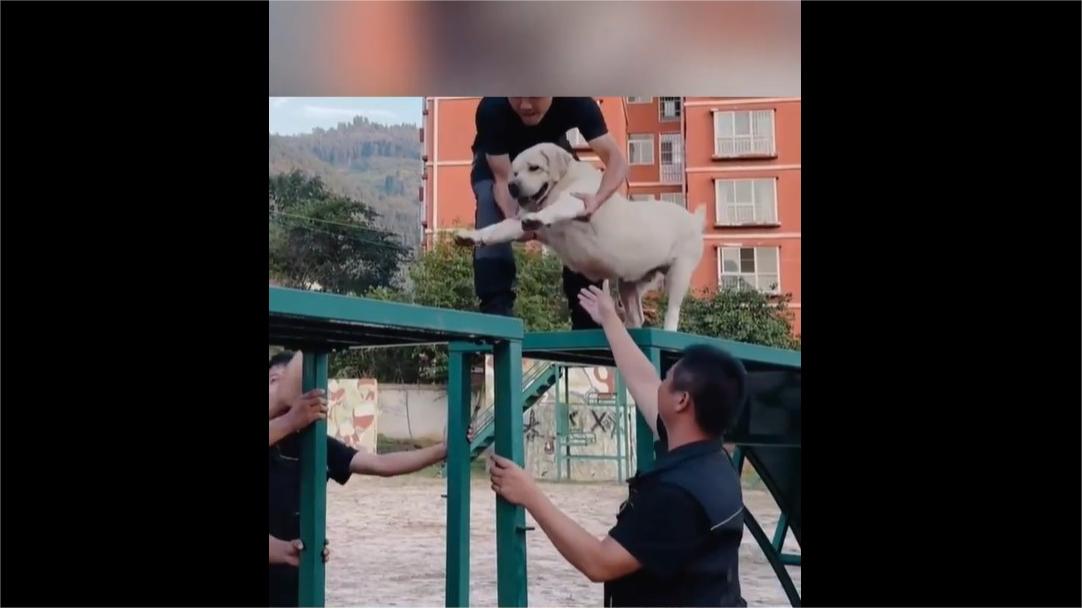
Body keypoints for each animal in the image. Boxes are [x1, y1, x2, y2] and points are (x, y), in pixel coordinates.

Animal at [452, 141, 705, 331]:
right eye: (514, 172)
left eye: (534, 168)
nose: (513, 186)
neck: (561, 182)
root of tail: (695, 220)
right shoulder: (515, 225)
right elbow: (495, 230)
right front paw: (471, 236)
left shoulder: (577, 200)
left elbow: (557, 208)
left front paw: (539, 216)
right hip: (630, 283)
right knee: (636, 316)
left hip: (680, 273)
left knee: (673, 311)